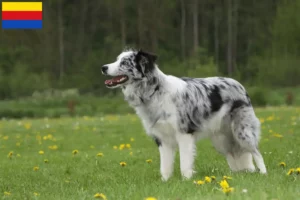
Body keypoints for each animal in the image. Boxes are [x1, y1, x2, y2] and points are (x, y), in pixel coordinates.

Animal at [102, 48, 266, 181]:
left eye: (124, 62)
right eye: (117, 59)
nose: (103, 67)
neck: (154, 90)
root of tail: (238, 84)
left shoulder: (184, 133)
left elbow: (184, 163)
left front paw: (187, 180)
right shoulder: (162, 138)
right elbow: (165, 165)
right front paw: (165, 181)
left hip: (242, 131)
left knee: (256, 152)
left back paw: (263, 174)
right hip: (222, 139)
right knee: (236, 155)